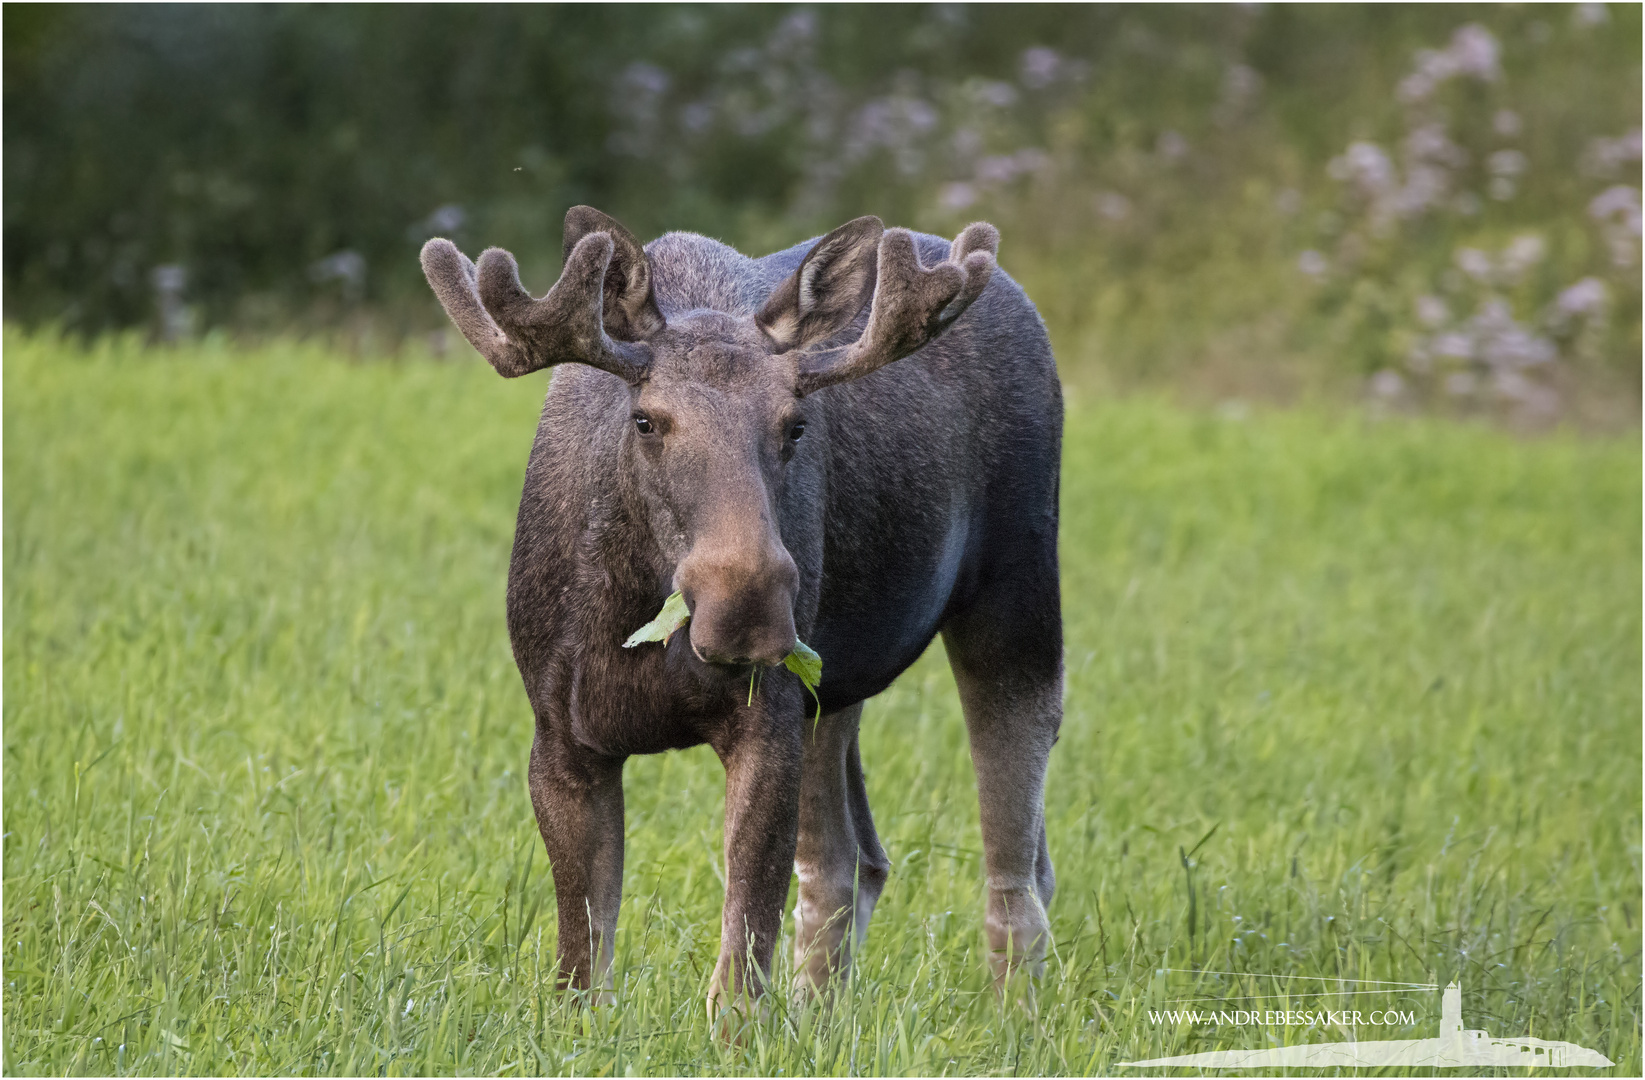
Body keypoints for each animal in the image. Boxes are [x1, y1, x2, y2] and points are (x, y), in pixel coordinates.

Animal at [421, 208, 1065, 1012]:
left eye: (796, 424)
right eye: (646, 420)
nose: (746, 606)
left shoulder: (768, 719)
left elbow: (739, 970)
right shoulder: (562, 739)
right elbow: (581, 969)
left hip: (1015, 591)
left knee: (1017, 856)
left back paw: (1015, 1016)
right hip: (838, 687)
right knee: (854, 858)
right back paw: (821, 1014)